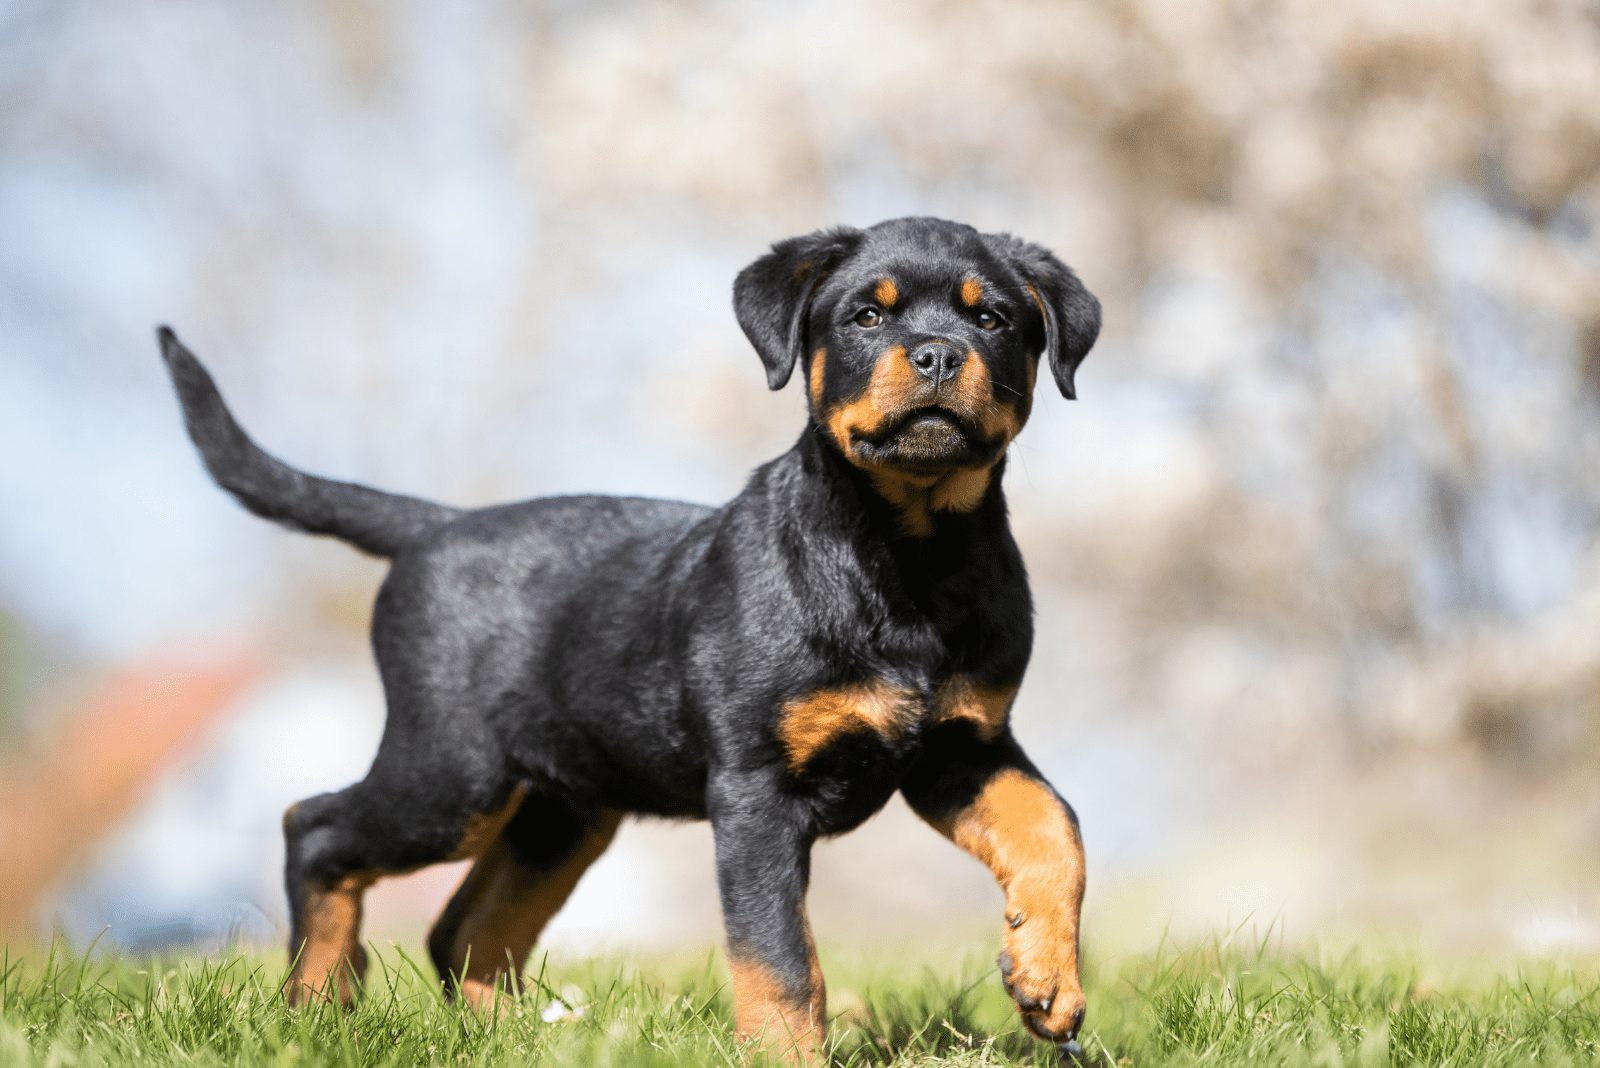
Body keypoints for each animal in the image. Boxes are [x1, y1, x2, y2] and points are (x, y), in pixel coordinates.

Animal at [156, 217, 1100, 1061]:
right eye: (868, 315)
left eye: (993, 319)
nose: (939, 353)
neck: (913, 551)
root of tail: (435, 526)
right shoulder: (756, 792)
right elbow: (781, 957)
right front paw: (784, 1055)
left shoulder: (960, 749)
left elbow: (1053, 827)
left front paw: (1047, 979)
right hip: (452, 773)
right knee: (315, 828)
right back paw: (318, 1002)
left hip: (562, 808)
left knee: (465, 929)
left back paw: (523, 1039)